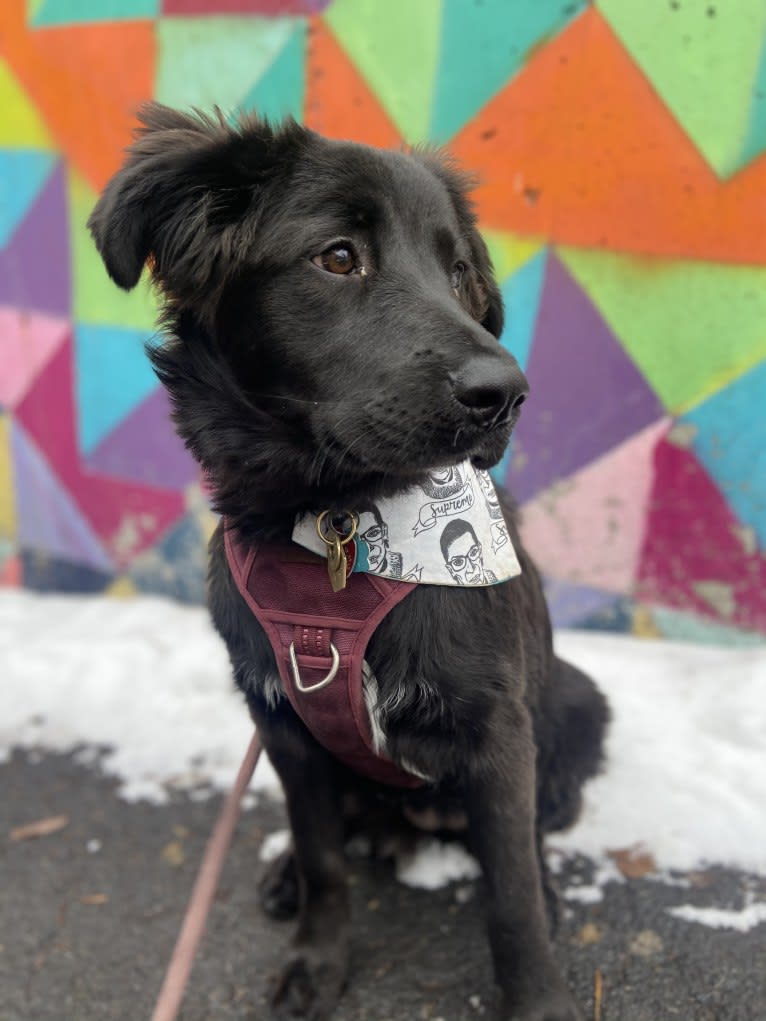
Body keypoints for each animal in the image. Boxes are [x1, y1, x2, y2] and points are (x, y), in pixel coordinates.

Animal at [86, 105, 608, 1021]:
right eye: (337, 257)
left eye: (458, 271)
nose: (505, 393)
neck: (345, 527)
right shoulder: (282, 723)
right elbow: (325, 855)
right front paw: (317, 957)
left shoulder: (498, 733)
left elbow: (509, 892)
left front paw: (538, 997)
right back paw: (288, 872)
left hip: (578, 697)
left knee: (533, 831)